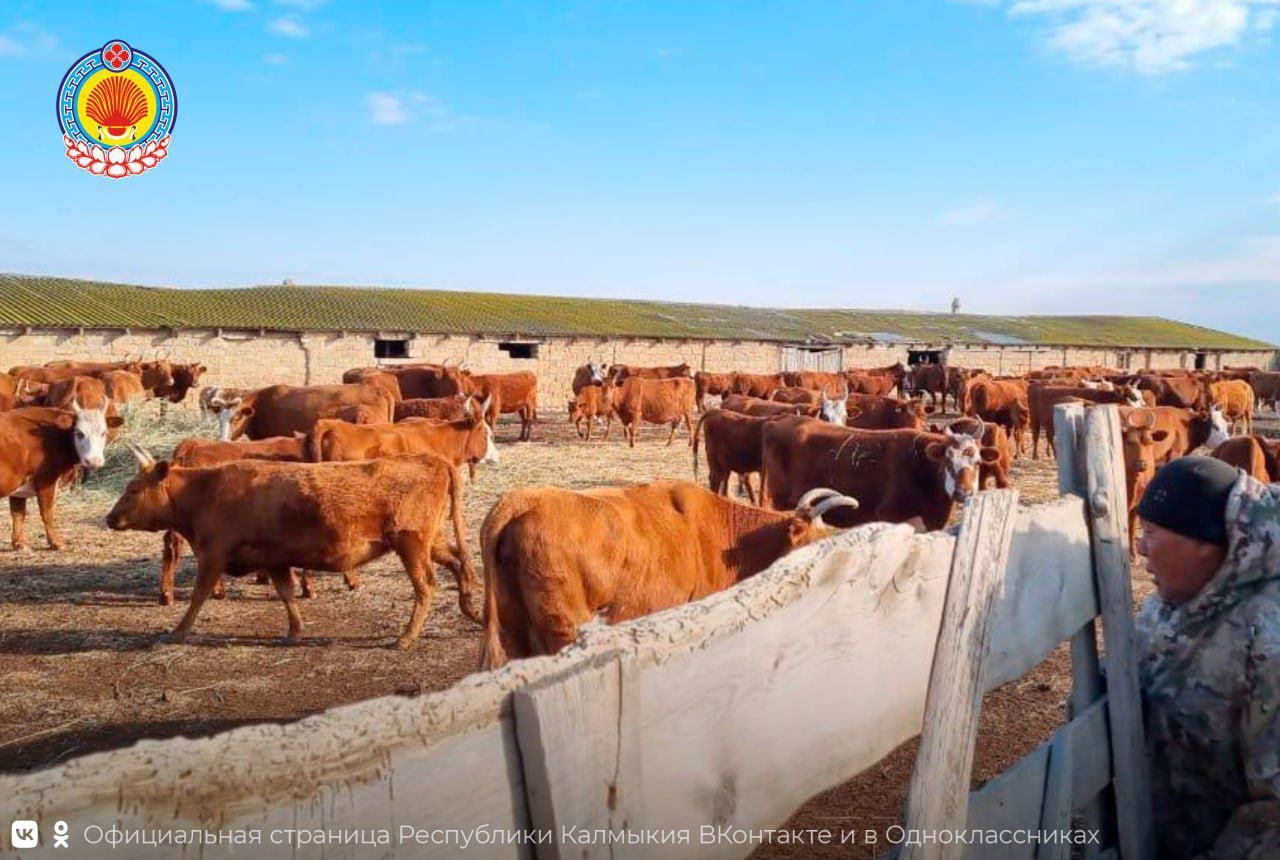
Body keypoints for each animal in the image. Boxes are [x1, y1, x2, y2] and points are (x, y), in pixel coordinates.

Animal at [104, 450, 476, 645]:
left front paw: (179, 631)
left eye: (134, 490)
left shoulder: (212, 556)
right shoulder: (274, 560)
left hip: (411, 543)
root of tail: (430, 459)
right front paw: (294, 631)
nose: (110, 517)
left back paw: (407, 638)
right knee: (458, 563)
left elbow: (198, 596)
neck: (205, 491)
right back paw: (470, 608)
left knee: (425, 586)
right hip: (431, 541)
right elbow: (286, 593)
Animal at [757, 412, 998, 527]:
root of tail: (779, 420)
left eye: (977, 462)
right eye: (947, 462)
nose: (963, 493)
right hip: (776, 501)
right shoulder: (890, 517)